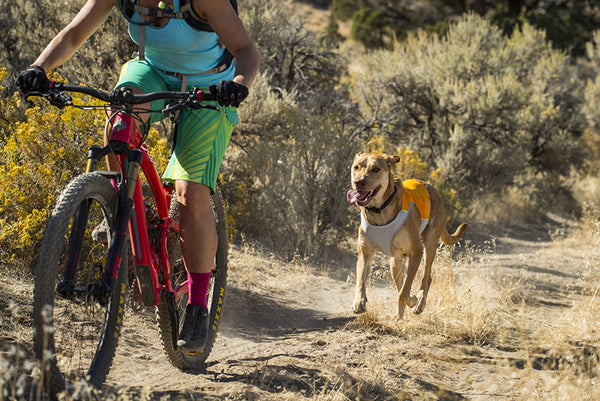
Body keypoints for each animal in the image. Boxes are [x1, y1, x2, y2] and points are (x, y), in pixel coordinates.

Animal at [344, 152, 466, 318]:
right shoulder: (365, 253)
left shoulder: (416, 252)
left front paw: (413, 300)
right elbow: (361, 281)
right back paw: (399, 318)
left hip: (429, 245)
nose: (358, 182)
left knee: (426, 278)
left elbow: (404, 291)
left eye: (375, 169)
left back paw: (419, 304)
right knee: (400, 284)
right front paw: (359, 302)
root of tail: (431, 187)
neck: (379, 210)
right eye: (356, 167)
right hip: (395, 262)